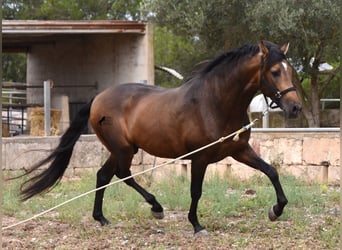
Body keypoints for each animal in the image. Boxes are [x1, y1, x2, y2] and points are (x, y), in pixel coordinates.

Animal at [19, 40, 302, 234]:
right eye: (275, 71)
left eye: (290, 70)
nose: (295, 108)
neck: (215, 103)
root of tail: (98, 98)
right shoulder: (199, 158)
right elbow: (196, 191)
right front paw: (196, 225)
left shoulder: (240, 151)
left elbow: (272, 171)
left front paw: (276, 210)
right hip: (123, 149)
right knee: (122, 174)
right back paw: (156, 208)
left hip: (120, 149)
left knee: (103, 175)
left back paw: (102, 218)